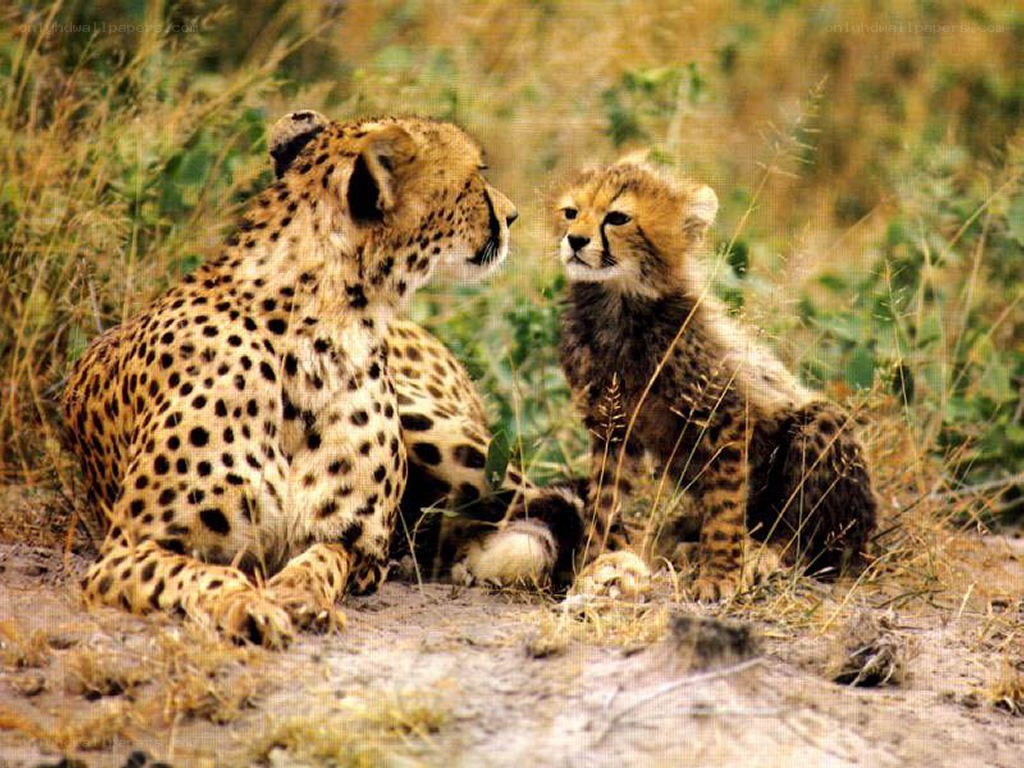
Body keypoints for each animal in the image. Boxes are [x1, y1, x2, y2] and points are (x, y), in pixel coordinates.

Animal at [552, 160, 879, 601]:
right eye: (571, 212)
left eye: (617, 217)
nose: (575, 240)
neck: (616, 305)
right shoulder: (612, 427)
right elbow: (604, 500)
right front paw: (592, 563)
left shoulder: (724, 415)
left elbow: (725, 506)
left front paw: (721, 574)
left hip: (822, 430)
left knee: (806, 541)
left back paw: (760, 554)